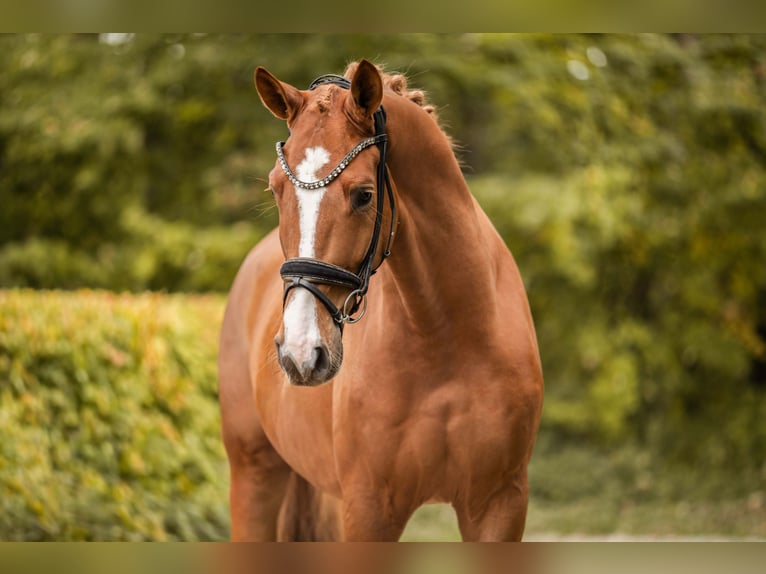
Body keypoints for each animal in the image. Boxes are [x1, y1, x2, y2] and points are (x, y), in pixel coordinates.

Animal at [218, 59, 544, 541]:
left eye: (363, 195)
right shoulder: (371, 507)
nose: (300, 352)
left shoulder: (499, 503)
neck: (446, 337)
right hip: (254, 475)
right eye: (275, 189)